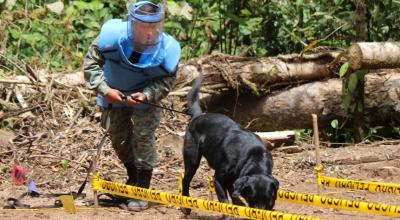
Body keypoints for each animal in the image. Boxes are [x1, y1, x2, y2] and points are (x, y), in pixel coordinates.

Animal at [180, 74, 278, 218]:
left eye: (269, 202)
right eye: (252, 199)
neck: (253, 157)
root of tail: (198, 117)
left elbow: (234, 194)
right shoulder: (218, 180)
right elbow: (225, 201)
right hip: (192, 160)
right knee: (185, 180)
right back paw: (185, 206)